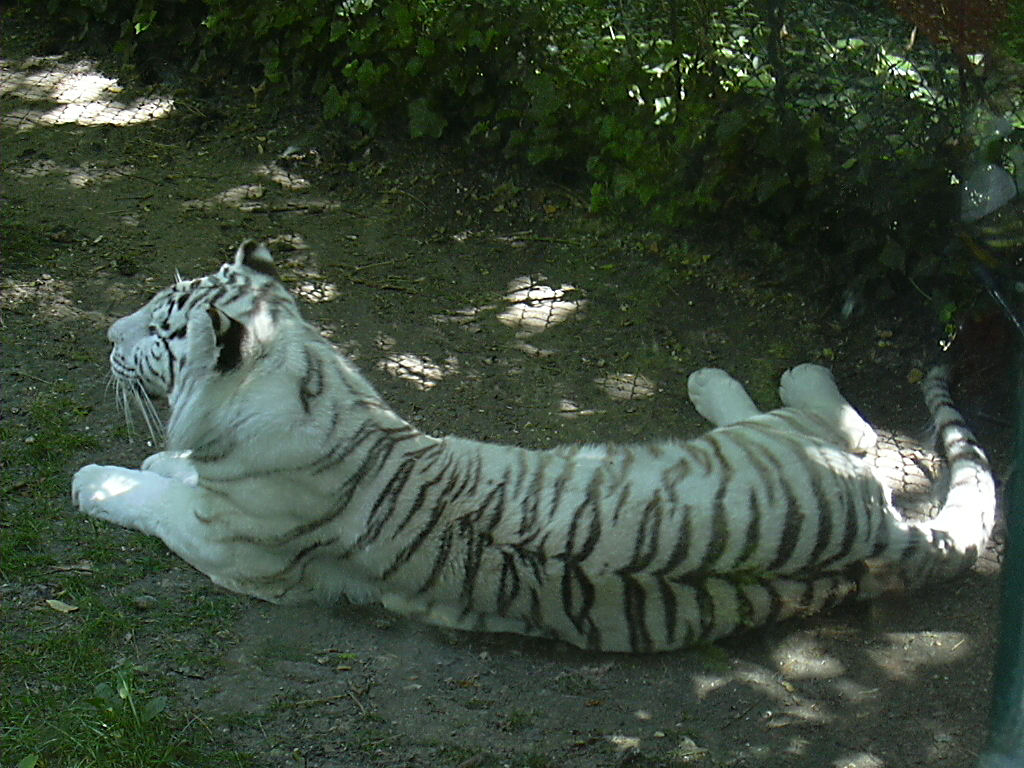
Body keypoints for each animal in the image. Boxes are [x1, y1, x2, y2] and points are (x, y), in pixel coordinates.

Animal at [74, 243, 999, 651]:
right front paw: (163, 457)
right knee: (853, 434)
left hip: (776, 440)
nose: (105, 333)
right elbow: (173, 471)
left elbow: (148, 498)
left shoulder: (232, 549)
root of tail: (889, 538)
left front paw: (102, 478)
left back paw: (732, 375)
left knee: (839, 418)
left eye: (158, 329)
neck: (305, 375)